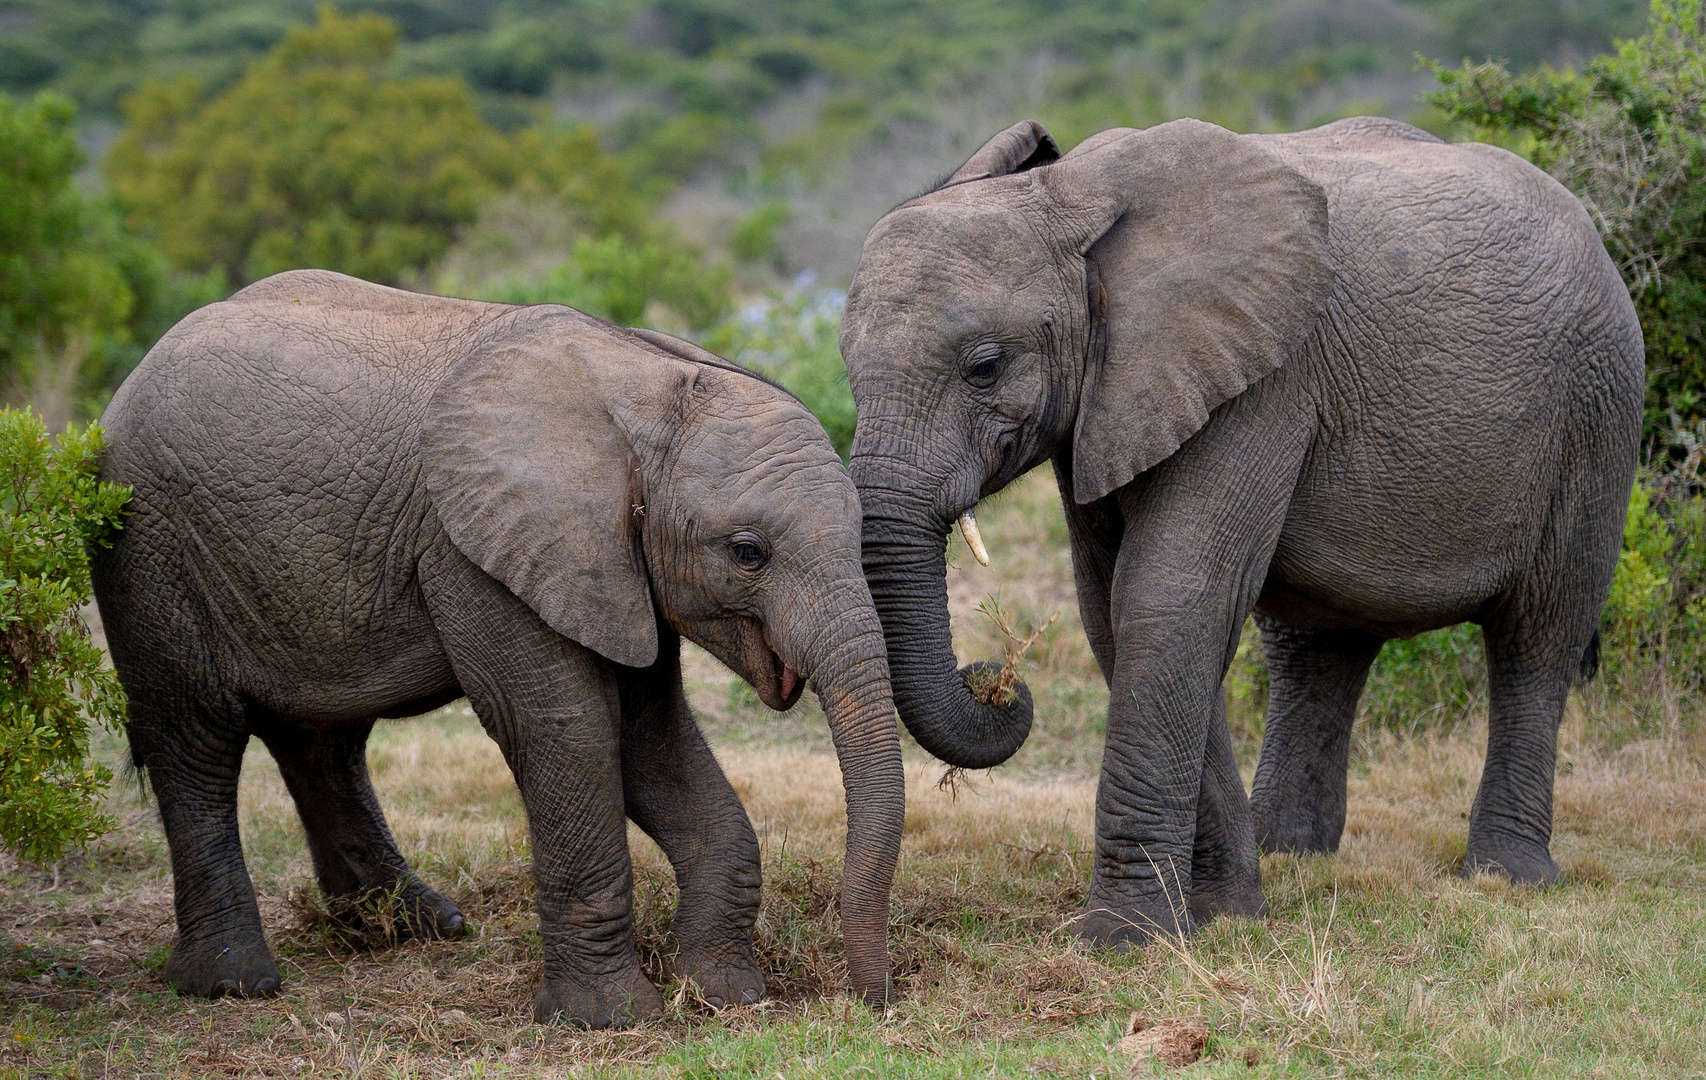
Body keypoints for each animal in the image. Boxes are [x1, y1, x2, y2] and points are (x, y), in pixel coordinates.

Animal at [89, 267, 907, 1016]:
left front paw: (725, 995)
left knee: (322, 739)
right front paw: (610, 1019)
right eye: (747, 553)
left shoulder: (609, 563)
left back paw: (416, 929)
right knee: (196, 737)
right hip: (149, 542)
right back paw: (234, 982)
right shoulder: (474, 549)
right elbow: (568, 730)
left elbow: (651, 737)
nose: (872, 1002)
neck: (645, 385)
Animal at [846, 116, 1644, 941]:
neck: (1071, 199)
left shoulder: (1263, 380)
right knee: (1316, 649)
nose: (997, 684)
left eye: (984, 367)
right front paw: (1226, 913)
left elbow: (1168, 597)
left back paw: (1507, 877)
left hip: (1598, 408)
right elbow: (1116, 612)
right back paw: (1292, 851)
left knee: (1539, 635)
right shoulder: (1113, 401)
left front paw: (1127, 940)